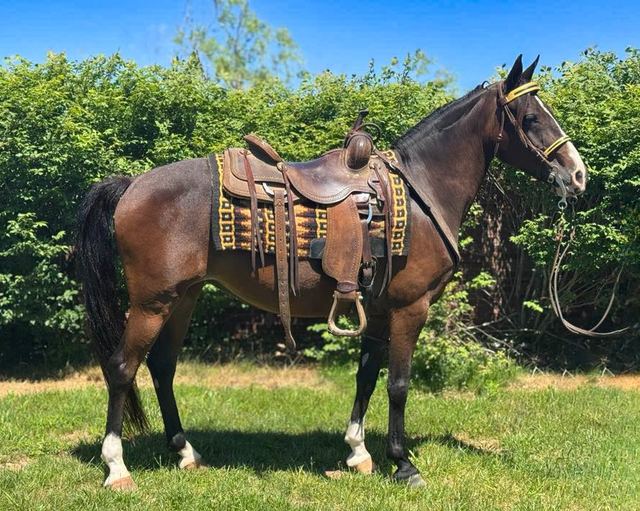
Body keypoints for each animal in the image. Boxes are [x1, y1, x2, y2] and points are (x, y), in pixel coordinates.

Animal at [76, 55, 586, 489]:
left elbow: (367, 375)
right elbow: (399, 385)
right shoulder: (410, 308)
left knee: (162, 366)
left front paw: (359, 452)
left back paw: (186, 453)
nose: (578, 175)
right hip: (152, 302)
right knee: (122, 368)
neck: (421, 191)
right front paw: (403, 464)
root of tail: (131, 184)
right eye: (531, 118)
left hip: (183, 297)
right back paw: (117, 467)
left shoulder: (377, 310)